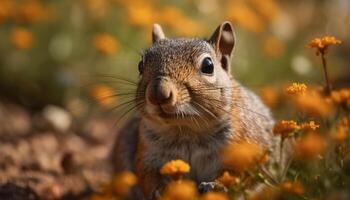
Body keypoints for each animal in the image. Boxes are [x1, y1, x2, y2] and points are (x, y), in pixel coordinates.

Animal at [112, 21, 282, 200]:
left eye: (208, 66)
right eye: (140, 66)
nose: (158, 93)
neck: (187, 130)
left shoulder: (244, 146)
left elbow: (238, 175)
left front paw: (215, 186)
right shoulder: (148, 155)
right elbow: (147, 176)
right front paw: (163, 190)